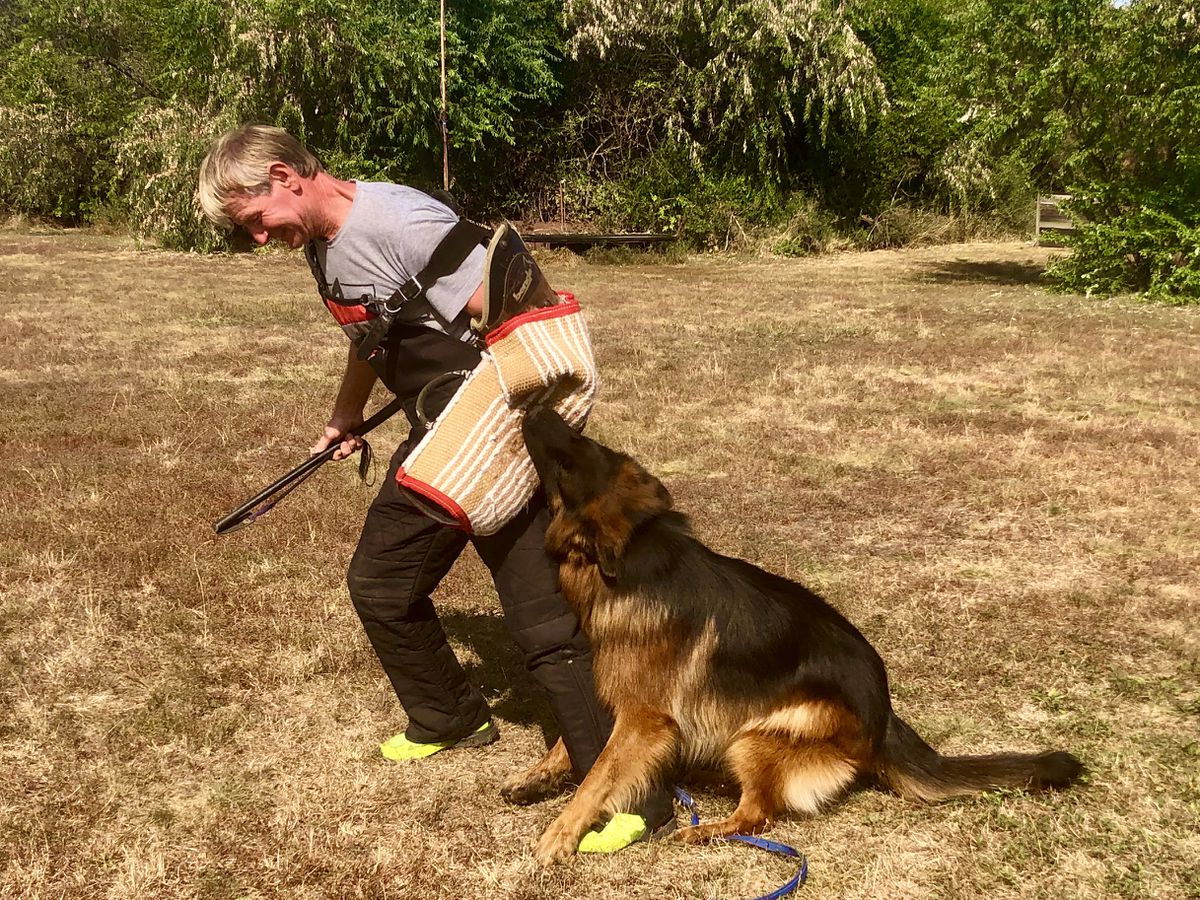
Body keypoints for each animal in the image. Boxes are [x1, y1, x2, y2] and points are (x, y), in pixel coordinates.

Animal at [507, 406, 1083, 866]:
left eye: (567, 463)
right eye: (581, 445)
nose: (532, 407)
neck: (632, 562)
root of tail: (885, 718)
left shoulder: (644, 719)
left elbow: (600, 776)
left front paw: (561, 832)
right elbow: (574, 741)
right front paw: (540, 773)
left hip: (755, 736)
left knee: (758, 816)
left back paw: (705, 830)